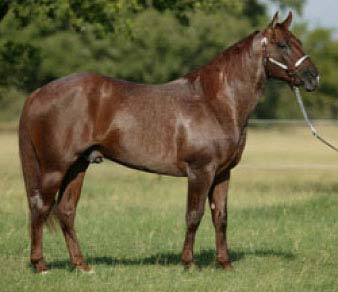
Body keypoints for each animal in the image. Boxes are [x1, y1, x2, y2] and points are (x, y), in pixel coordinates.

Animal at [19, 10, 320, 272]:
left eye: (299, 42)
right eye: (282, 45)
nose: (313, 77)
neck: (216, 102)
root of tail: (38, 94)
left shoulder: (222, 174)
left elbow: (220, 217)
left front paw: (225, 264)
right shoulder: (200, 171)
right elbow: (194, 215)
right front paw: (189, 263)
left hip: (78, 167)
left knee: (66, 211)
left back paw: (82, 266)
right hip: (55, 168)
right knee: (40, 207)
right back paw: (41, 265)